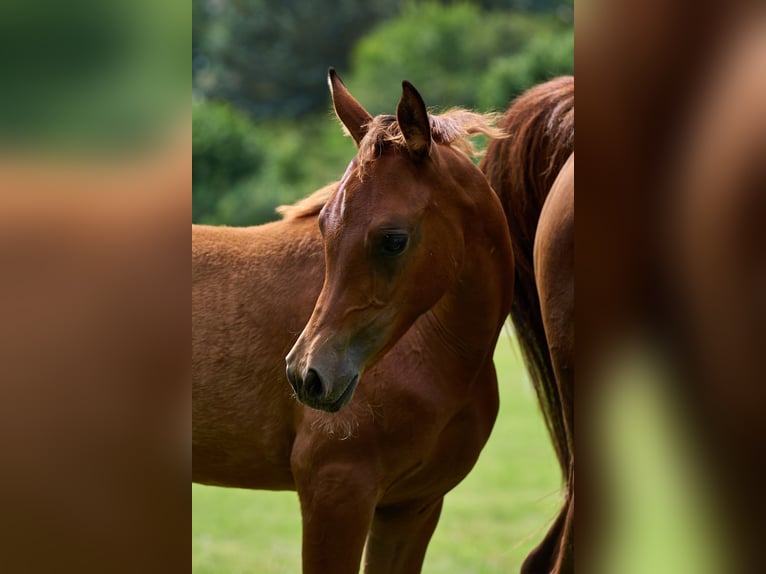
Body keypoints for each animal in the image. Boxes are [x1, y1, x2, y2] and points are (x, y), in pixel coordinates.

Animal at [194, 72, 516, 574]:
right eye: (324, 225)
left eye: (393, 239)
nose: (306, 375)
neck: (438, 349)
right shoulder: (338, 491)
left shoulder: (412, 506)